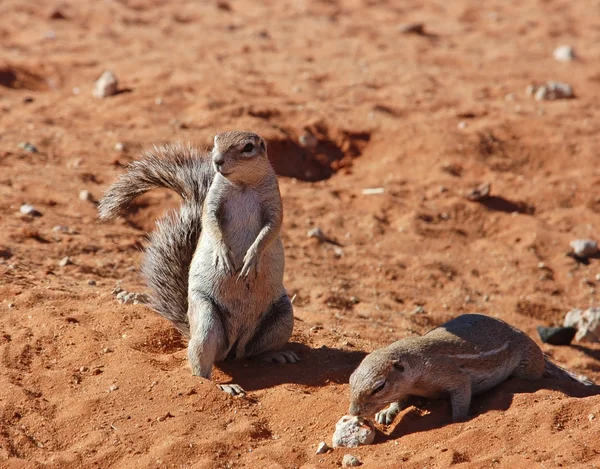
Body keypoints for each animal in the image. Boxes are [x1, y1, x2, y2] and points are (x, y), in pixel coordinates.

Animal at [99, 130, 300, 394]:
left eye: (248, 147)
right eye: (215, 141)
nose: (217, 161)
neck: (242, 185)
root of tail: (232, 349)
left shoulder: (274, 203)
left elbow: (270, 229)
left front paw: (251, 258)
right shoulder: (212, 202)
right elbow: (210, 222)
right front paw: (224, 255)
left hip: (283, 317)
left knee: (255, 353)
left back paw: (276, 355)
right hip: (205, 320)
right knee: (201, 366)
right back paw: (224, 386)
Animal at [346, 314, 596, 424]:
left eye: (379, 387)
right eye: (350, 381)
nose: (353, 412)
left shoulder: (448, 373)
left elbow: (461, 392)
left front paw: (459, 418)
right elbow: (401, 399)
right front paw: (387, 412)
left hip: (528, 364)